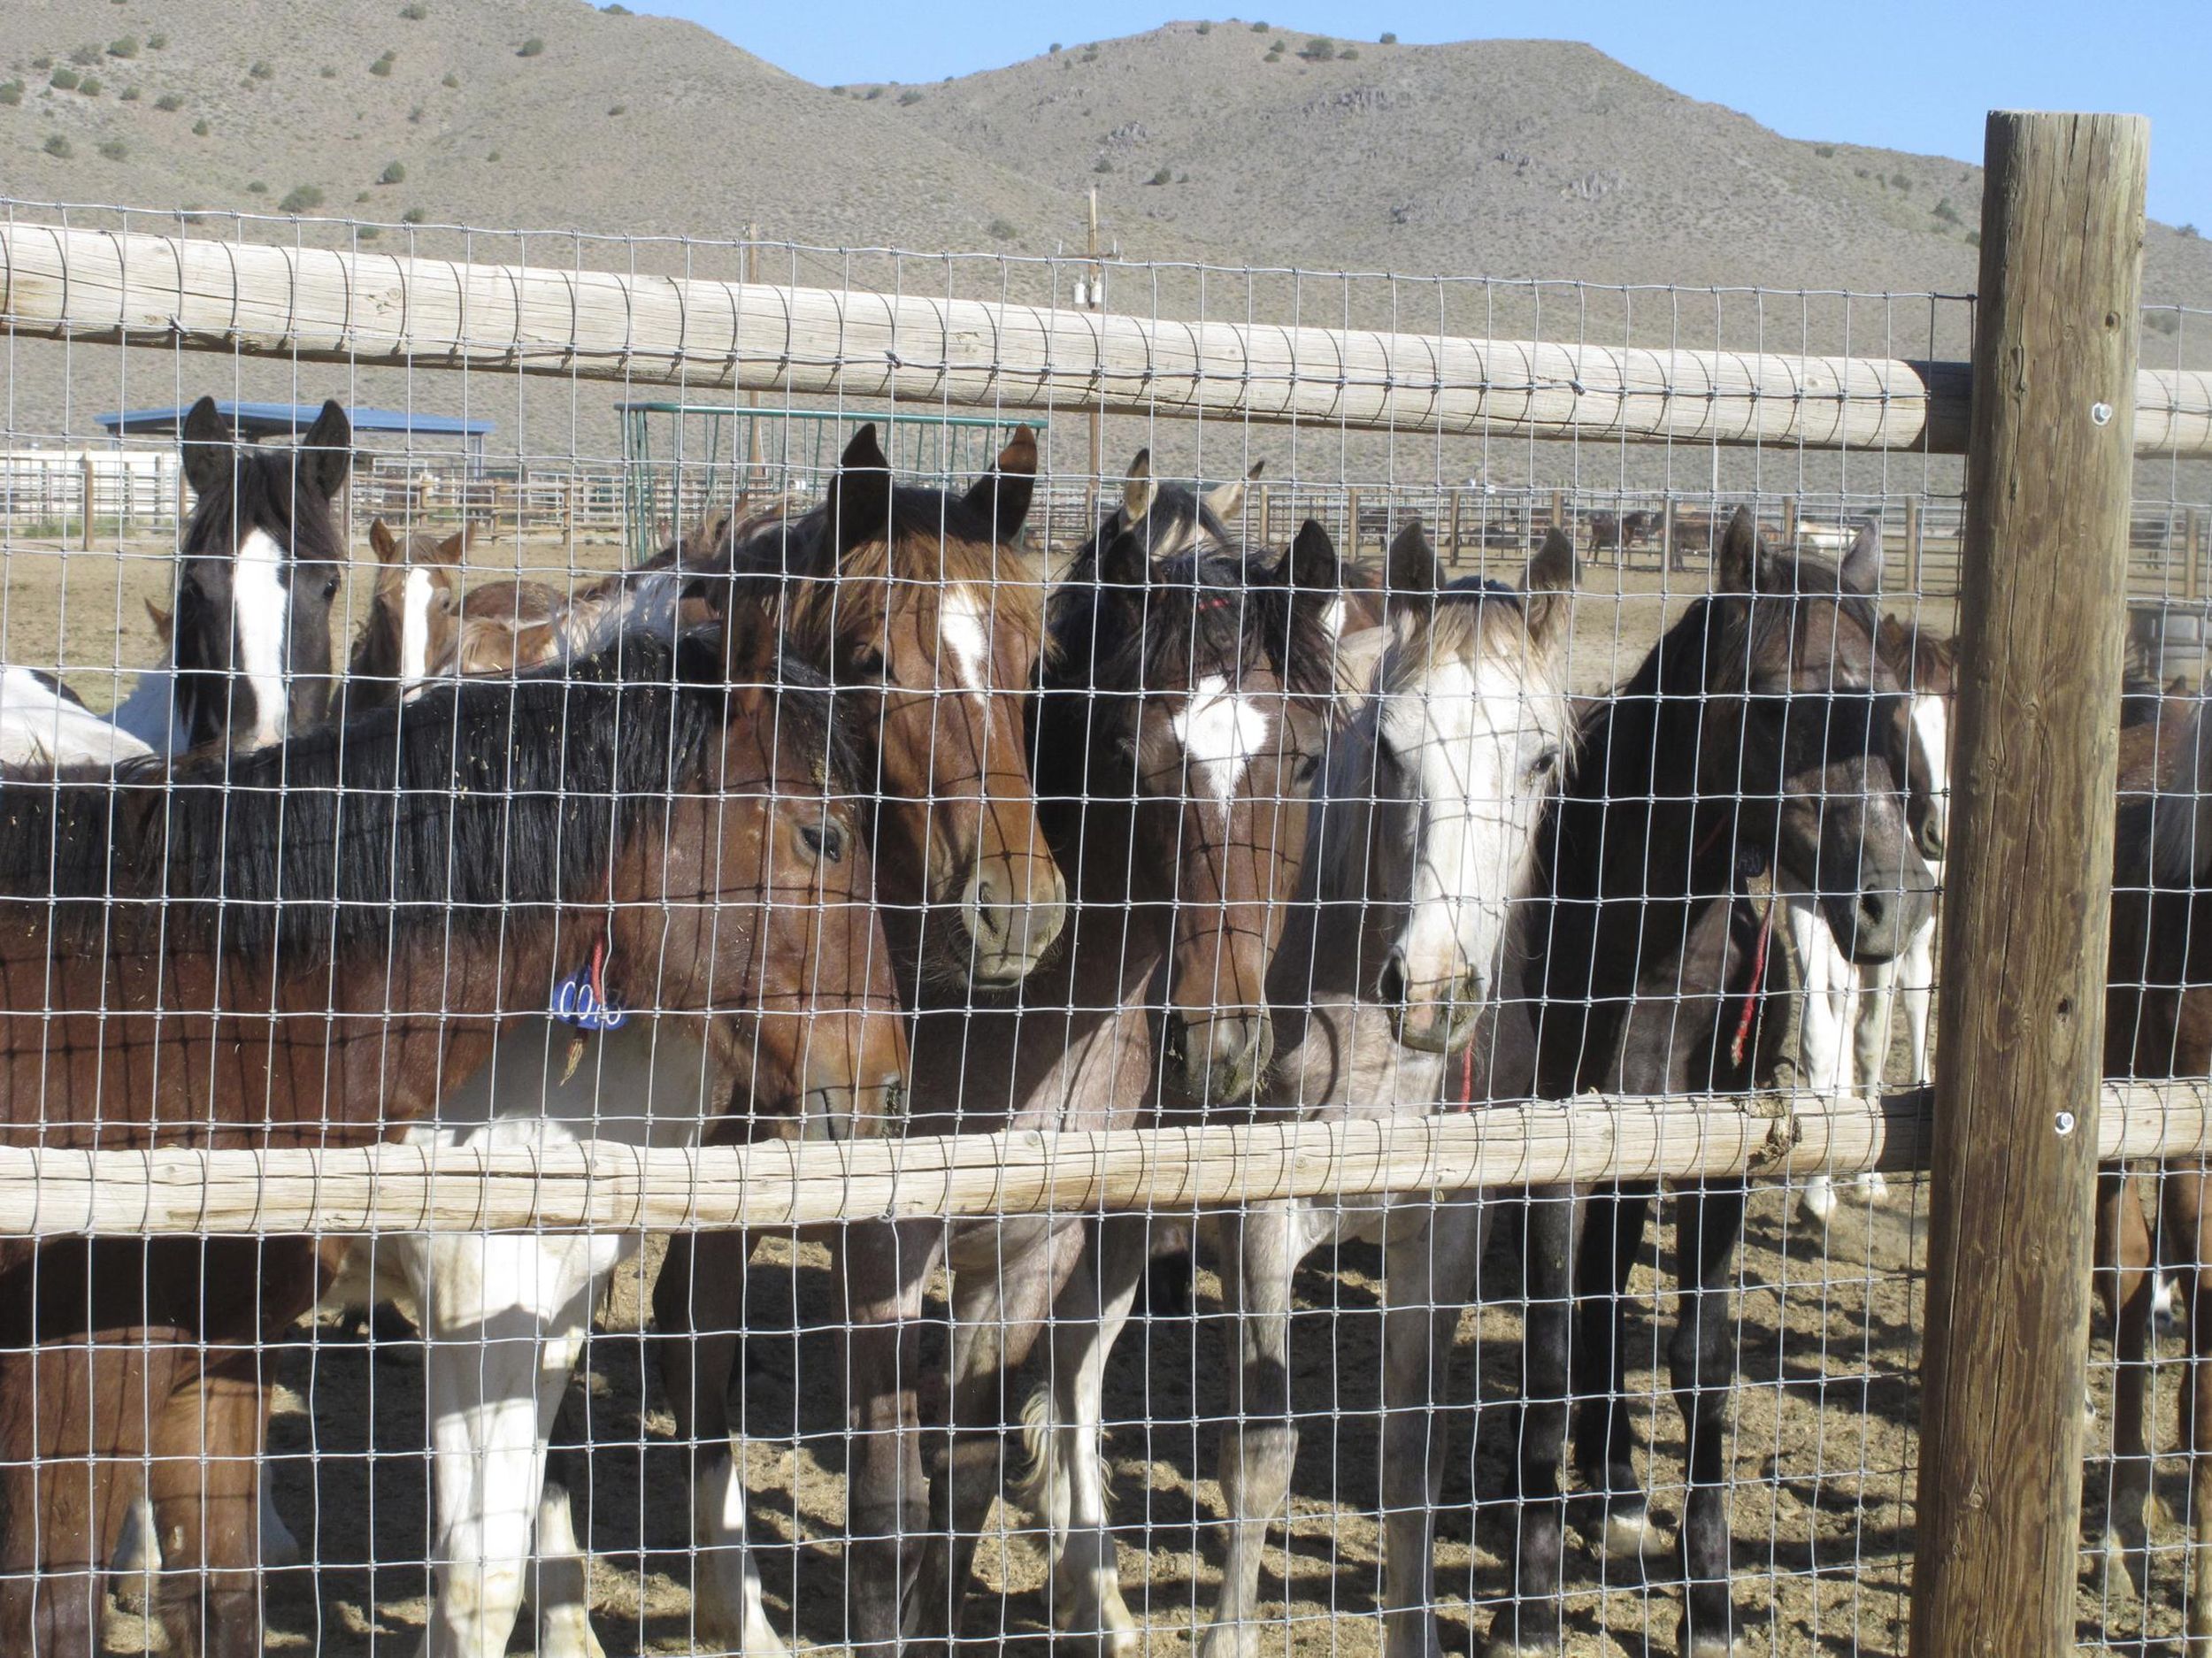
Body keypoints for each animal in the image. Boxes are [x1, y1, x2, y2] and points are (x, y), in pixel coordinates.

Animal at [1496, 507, 1937, 1658]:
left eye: (1890, 706)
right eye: (1778, 700)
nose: (1892, 902)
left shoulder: (1719, 1158)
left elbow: (1700, 1358)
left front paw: (1709, 1595)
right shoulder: (1550, 1155)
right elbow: (1552, 1341)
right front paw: (1530, 1598)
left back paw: (1611, 1480)